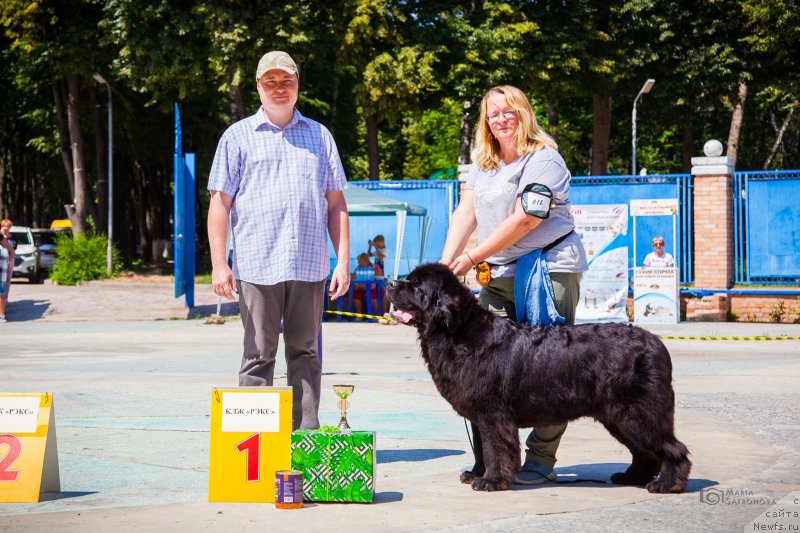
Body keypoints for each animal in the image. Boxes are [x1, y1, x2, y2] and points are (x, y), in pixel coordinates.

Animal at [388, 264, 688, 492]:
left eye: (416, 286)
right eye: (408, 279)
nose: (390, 282)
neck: (458, 334)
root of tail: (656, 343)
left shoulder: (493, 414)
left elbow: (495, 447)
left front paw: (491, 481)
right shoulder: (478, 415)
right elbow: (480, 448)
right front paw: (476, 473)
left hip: (635, 411)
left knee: (670, 447)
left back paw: (667, 484)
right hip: (616, 416)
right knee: (644, 451)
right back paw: (631, 477)